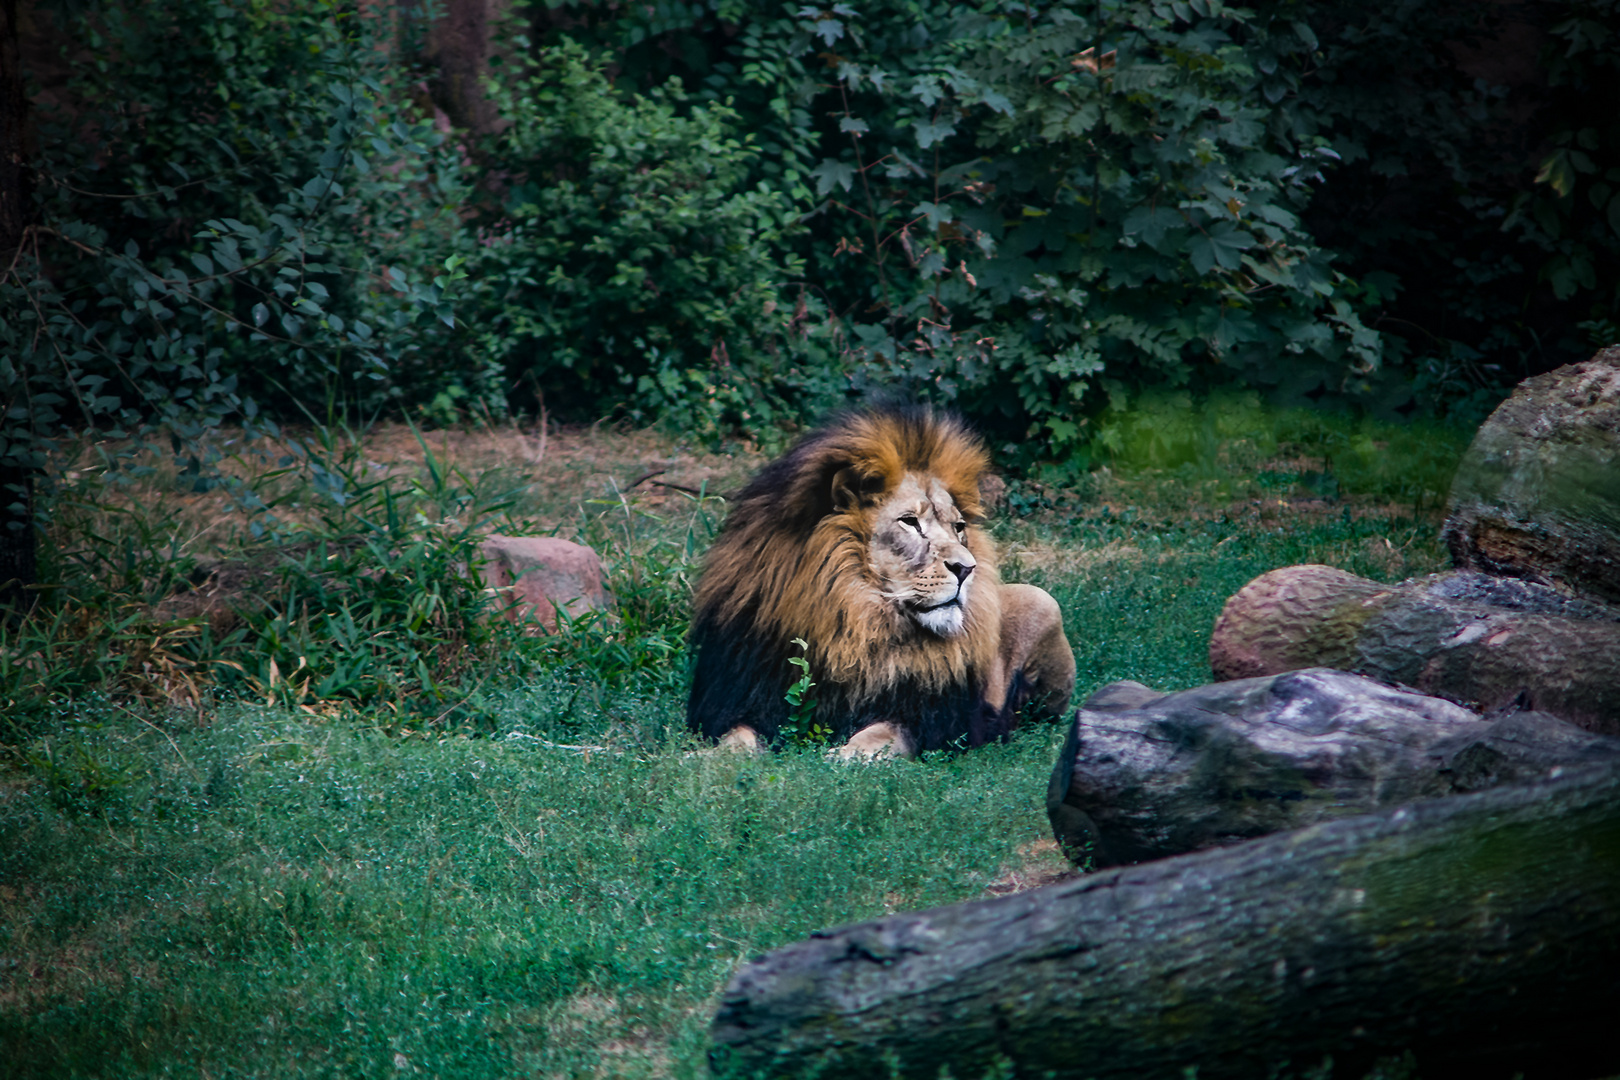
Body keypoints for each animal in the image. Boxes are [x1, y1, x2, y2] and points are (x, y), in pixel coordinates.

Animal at [683, 408, 1075, 761]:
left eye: (958, 527)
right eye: (910, 522)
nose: (967, 568)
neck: (853, 619)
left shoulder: (934, 720)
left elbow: (883, 734)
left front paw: (844, 756)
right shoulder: (738, 697)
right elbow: (737, 736)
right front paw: (709, 760)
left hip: (1042, 601)